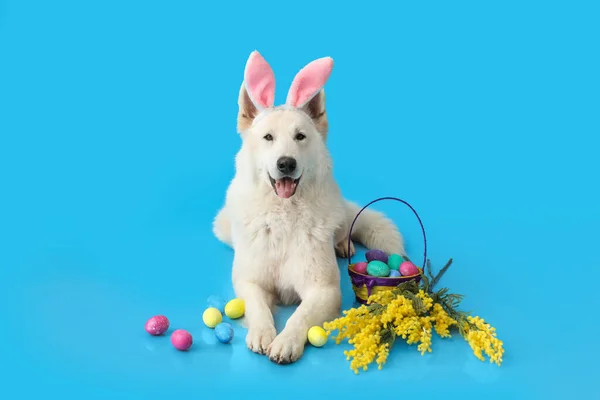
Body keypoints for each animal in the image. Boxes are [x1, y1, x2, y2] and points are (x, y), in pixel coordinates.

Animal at [213, 51, 406, 364]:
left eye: (300, 136)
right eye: (268, 138)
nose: (286, 164)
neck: (283, 216)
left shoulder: (324, 290)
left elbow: (300, 316)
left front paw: (286, 341)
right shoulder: (249, 281)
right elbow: (257, 305)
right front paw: (262, 333)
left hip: (339, 213)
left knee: (344, 228)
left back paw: (342, 245)